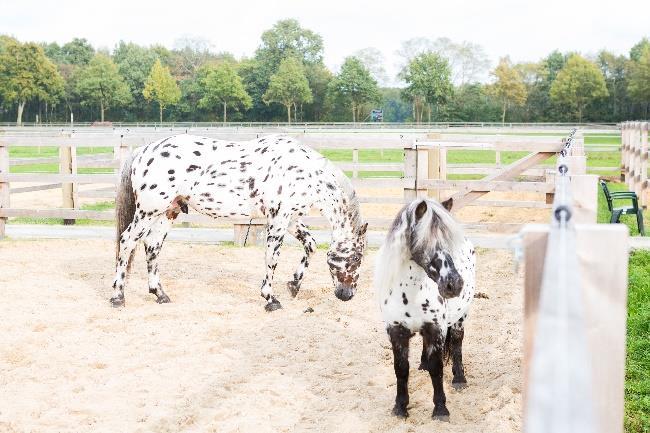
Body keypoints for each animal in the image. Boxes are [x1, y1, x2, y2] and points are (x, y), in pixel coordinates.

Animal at [109, 134, 368, 310]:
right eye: (356, 258)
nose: (346, 295)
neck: (304, 172)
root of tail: (144, 151)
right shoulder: (278, 219)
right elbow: (272, 258)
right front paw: (271, 299)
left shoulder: (291, 218)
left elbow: (310, 244)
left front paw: (294, 285)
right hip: (148, 211)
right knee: (127, 241)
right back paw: (118, 297)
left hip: (167, 212)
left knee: (152, 247)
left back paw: (160, 294)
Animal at [372, 197, 474, 420]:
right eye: (425, 241)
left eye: (449, 243)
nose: (454, 284)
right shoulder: (396, 332)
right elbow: (401, 369)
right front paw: (400, 407)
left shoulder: (436, 329)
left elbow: (437, 369)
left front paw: (440, 409)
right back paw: (423, 365)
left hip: (461, 317)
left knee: (457, 342)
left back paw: (459, 379)